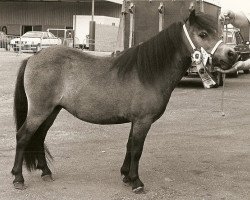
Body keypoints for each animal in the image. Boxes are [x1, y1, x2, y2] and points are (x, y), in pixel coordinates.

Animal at [11, 10, 237, 193]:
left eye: (218, 33)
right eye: (203, 34)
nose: (232, 54)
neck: (149, 72)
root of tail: (33, 58)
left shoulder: (135, 121)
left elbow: (129, 146)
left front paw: (126, 176)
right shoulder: (143, 121)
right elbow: (137, 149)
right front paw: (136, 182)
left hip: (52, 110)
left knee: (39, 137)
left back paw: (45, 172)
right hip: (40, 110)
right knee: (23, 136)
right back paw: (18, 178)